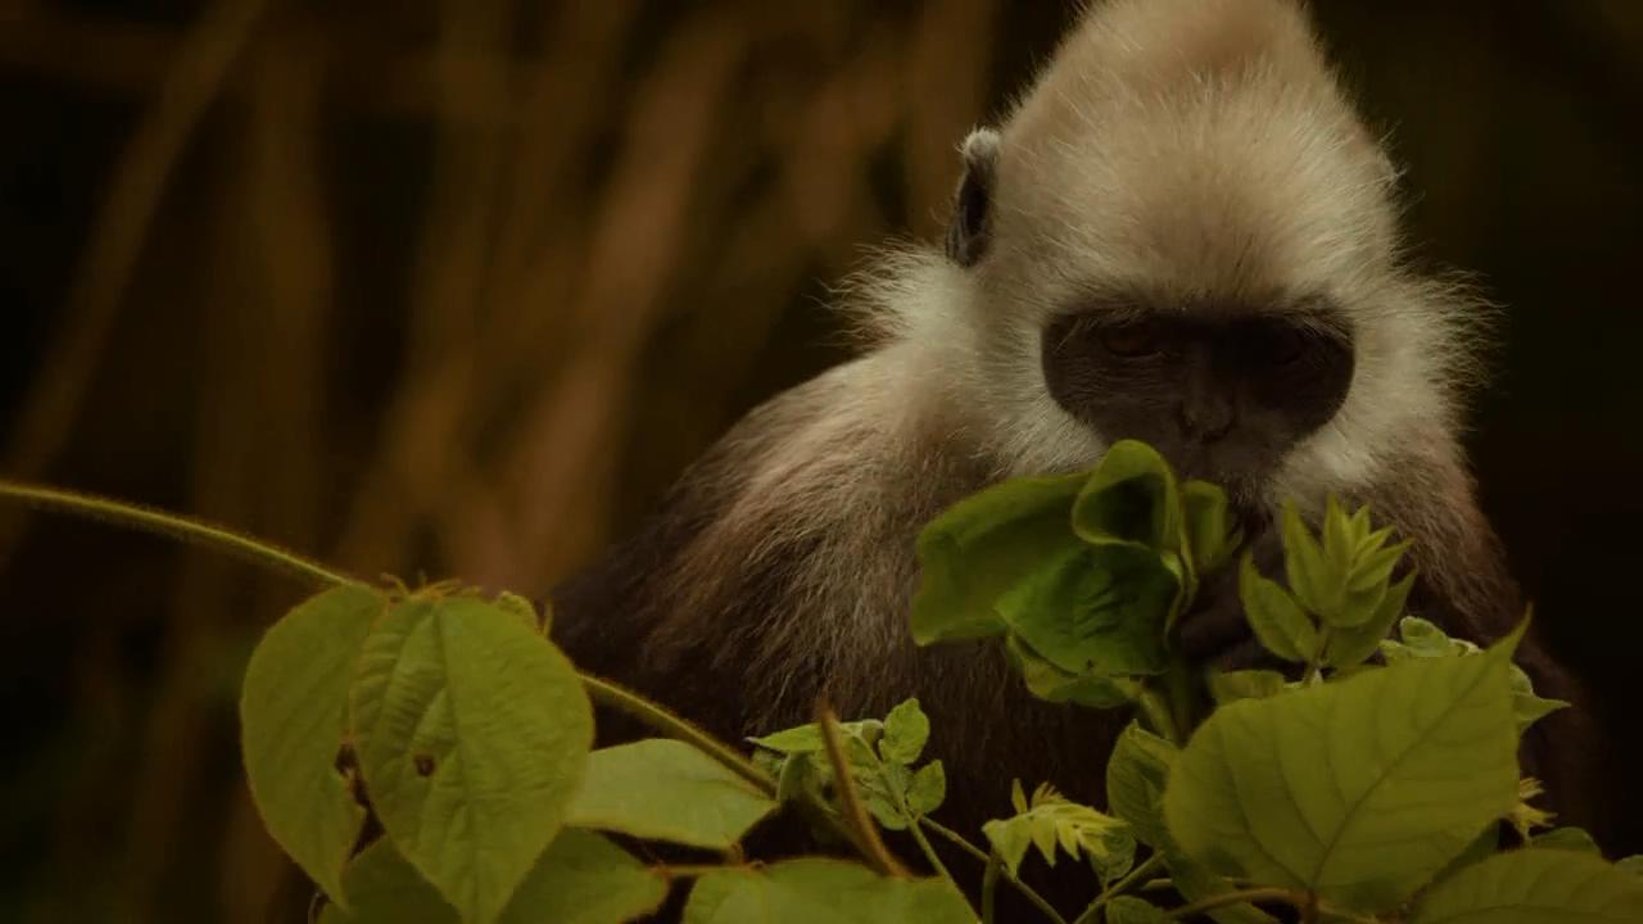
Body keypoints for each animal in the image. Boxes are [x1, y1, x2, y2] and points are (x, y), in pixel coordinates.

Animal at [548, 0, 1590, 835]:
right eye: (1131, 342)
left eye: (1274, 356)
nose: (1202, 426)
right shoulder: (809, 502)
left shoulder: (1415, 492)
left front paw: (1301, 612)